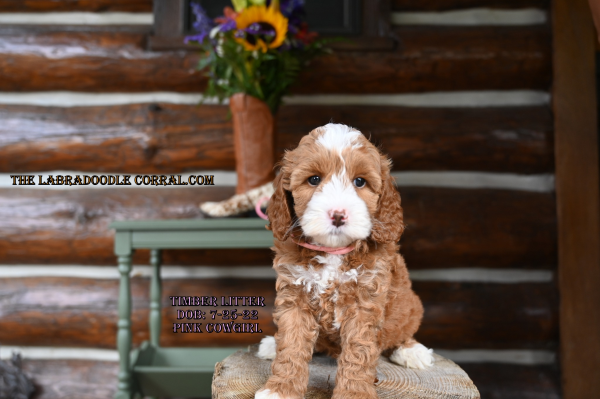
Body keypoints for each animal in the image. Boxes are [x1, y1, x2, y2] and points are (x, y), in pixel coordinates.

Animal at [255, 124, 434, 399]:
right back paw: (271, 345)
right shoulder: (294, 294)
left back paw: (412, 351)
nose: (338, 214)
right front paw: (280, 389)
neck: (333, 251)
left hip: (410, 305)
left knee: (404, 330)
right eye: (314, 179)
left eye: (359, 181)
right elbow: (292, 345)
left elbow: (358, 353)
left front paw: (354, 392)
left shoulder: (365, 301)